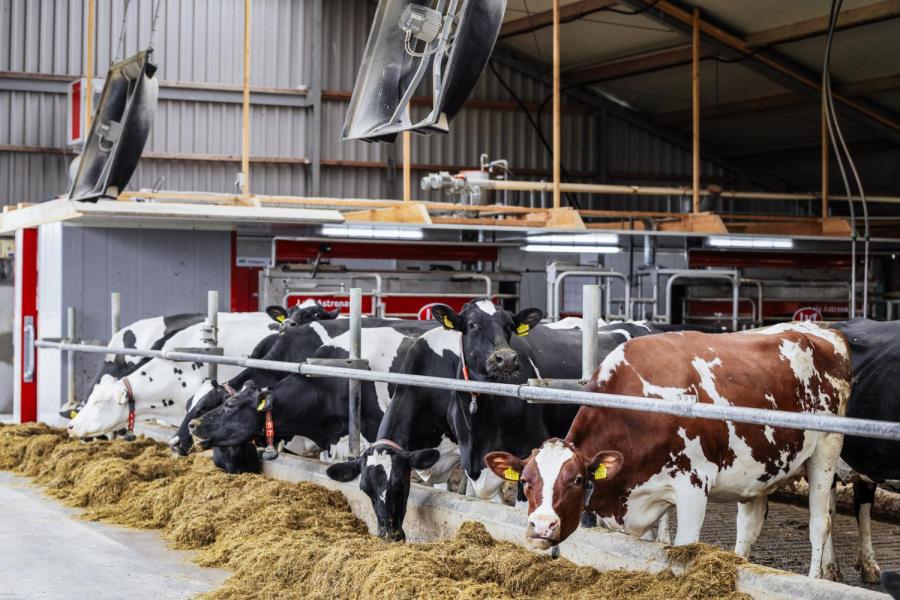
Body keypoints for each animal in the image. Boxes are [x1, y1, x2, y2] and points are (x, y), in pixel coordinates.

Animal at [488, 322, 856, 580]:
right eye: (526, 482)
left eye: (576, 480)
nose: (541, 525)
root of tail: (825, 332)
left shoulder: (694, 486)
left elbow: (684, 546)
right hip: (759, 467)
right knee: (749, 526)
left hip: (826, 450)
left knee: (820, 523)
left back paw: (816, 577)